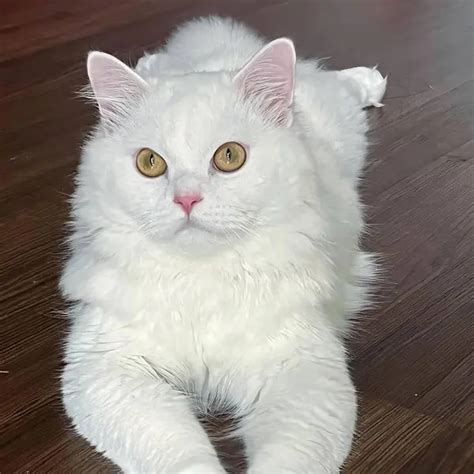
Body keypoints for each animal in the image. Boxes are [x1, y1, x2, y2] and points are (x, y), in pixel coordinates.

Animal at [60, 15, 386, 474]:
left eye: (230, 156)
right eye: (149, 163)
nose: (187, 200)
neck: (200, 280)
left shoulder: (301, 370)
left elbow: (284, 459)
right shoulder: (107, 370)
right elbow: (184, 454)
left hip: (343, 121)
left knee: (335, 79)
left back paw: (371, 80)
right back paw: (147, 61)